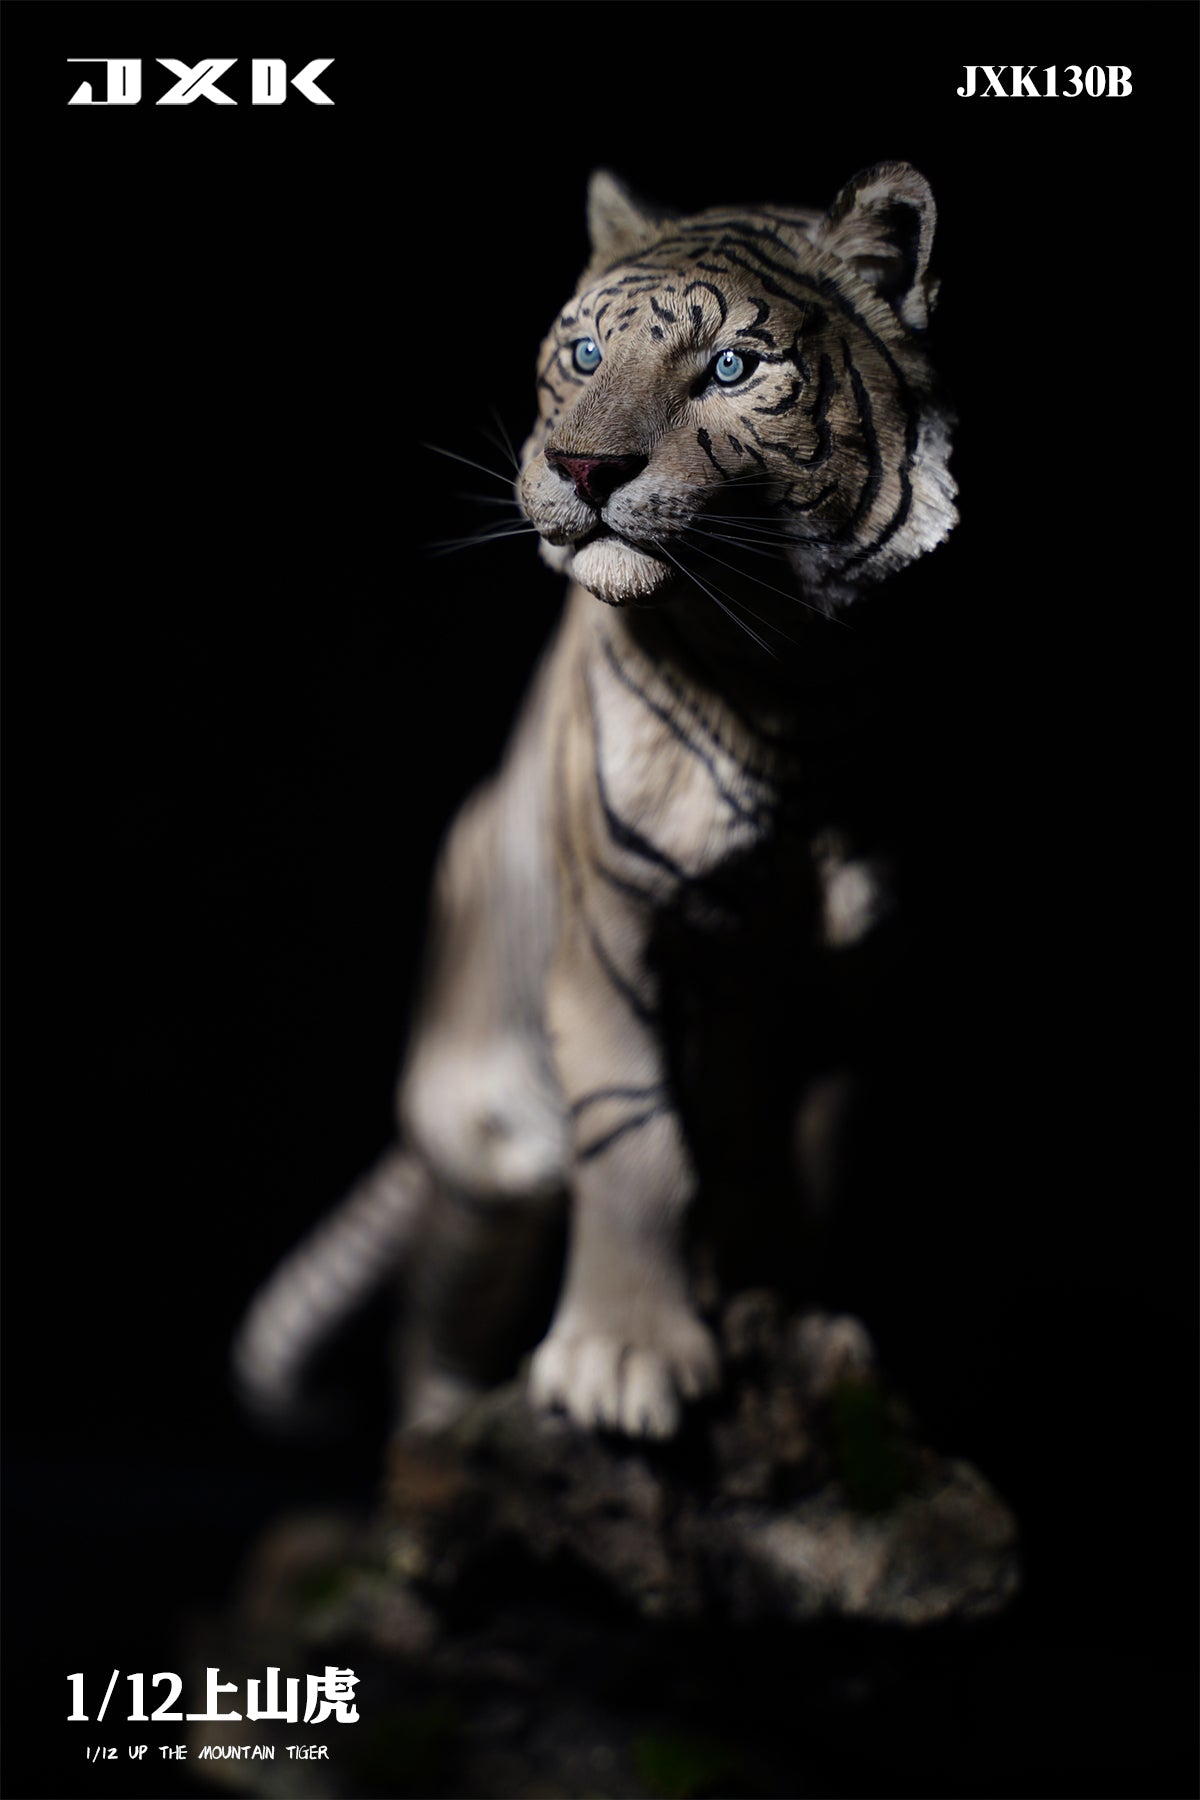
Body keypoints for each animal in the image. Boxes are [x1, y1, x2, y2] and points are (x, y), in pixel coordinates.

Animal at [233, 162, 957, 1441]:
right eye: (581, 354)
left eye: (733, 368)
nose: (580, 469)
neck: (783, 677)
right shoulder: (614, 935)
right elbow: (636, 1142)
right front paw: (622, 1362)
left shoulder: (852, 975)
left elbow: (805, 1159)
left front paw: (801, 1326)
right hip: (487, 1127)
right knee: (443, 1305)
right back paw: (440, 1433)